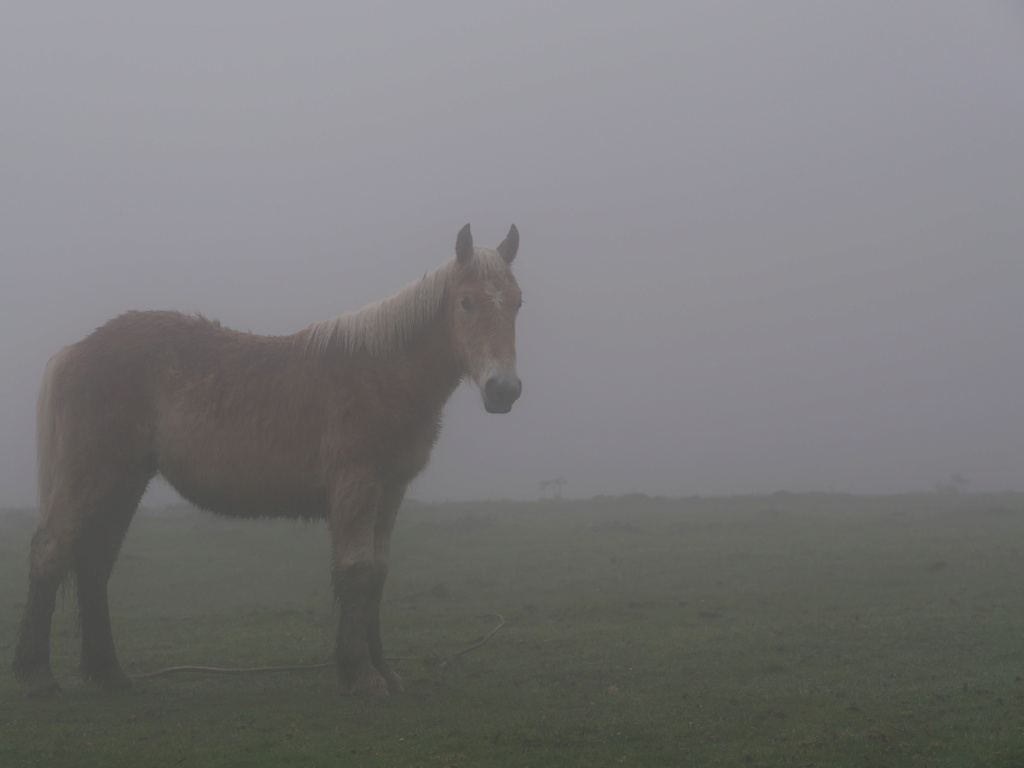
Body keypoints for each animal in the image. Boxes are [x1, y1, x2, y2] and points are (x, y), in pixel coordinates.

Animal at [14, 222, 528, 696]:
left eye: (518, 302)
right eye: (466, 302)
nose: (503, 390)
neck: (381, 374)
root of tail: (77, 351)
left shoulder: (390, 491)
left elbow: (378, 574)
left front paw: (382, 670)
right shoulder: (356, 487)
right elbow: (355, 570)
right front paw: (361, 675)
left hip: (124, 481)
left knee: (95, 563)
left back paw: (110, 674)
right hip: (91, 476)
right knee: (50, 552)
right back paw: (37, 676)